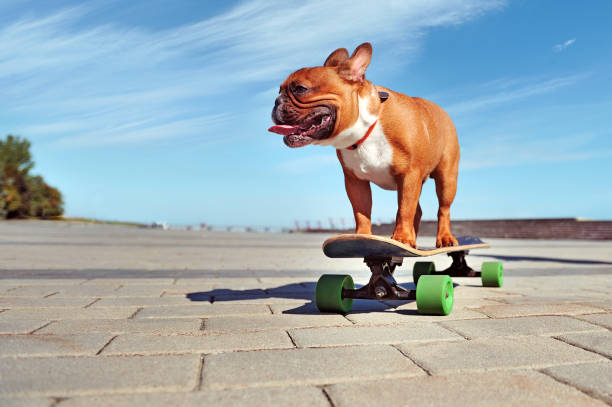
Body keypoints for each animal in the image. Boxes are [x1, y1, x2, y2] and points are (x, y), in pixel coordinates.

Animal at [268, 43, 460, 249]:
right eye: (279, 91)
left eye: (300, 89)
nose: (276, 101)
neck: (366, 129)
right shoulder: (355, 181)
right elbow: (361, 210)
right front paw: (362, 237)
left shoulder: (409, 175)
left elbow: (405, 209)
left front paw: (401, 238)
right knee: (418, 210)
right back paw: (413, 242)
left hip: (446, 178)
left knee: (443, 209)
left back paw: (443, 238)